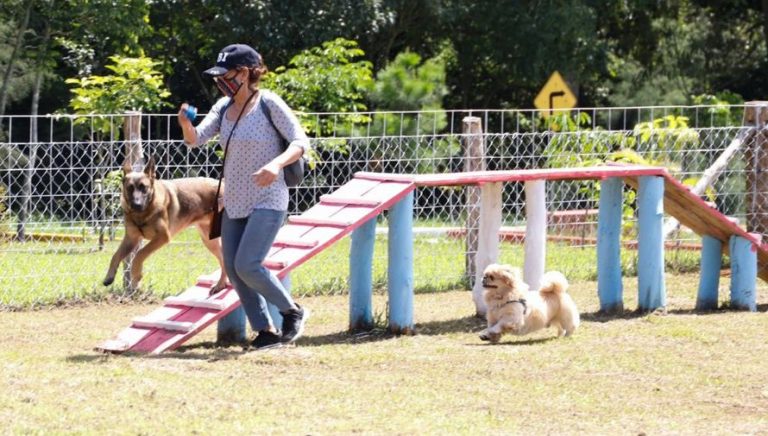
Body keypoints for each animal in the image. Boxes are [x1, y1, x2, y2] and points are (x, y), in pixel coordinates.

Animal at [103, 157, 228, 292]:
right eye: (130, 188)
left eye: (144, 188)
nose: (137, 205)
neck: (143, 214)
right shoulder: (131, 239)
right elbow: (115, 255)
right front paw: (109, 276)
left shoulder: (162, 237)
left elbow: (140, 254)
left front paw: (136, 275)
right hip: (209, 241)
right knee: (223, 260)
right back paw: (221, 284)